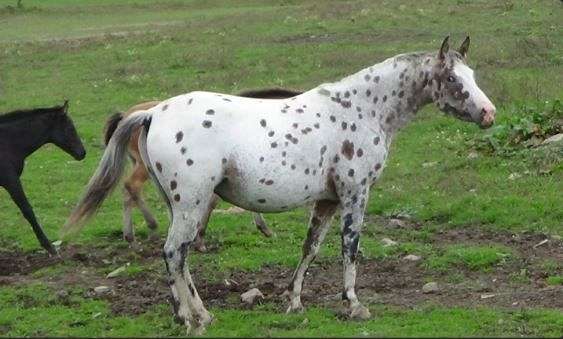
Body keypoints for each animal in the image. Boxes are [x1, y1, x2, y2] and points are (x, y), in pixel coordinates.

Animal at [0, 101, 86, 255]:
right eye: (70, 127)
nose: (82, 152)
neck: (6, 143)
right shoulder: (11, 180)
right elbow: (27, 210)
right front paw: (49, 246)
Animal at [103, 88, 302, 252]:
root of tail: (127, 115)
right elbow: (213, 203)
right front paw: (200, 239)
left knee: (127, 192)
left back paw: (131, 238)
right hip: (145, 168)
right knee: (132, 186)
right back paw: (151, 227)